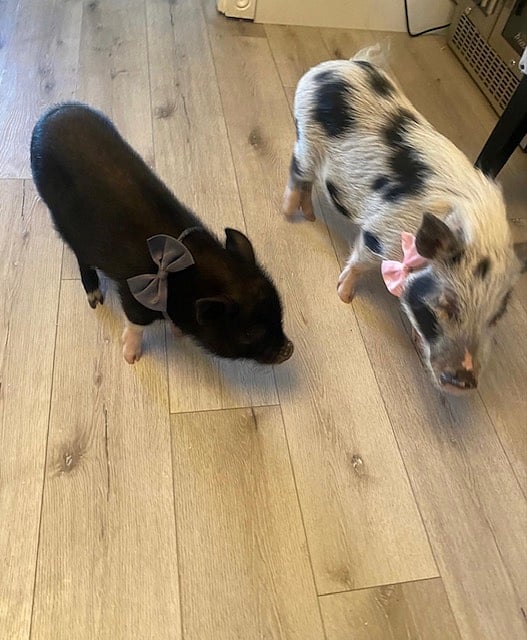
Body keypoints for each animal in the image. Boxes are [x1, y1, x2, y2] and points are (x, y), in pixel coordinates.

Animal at [31, 102, 293, 365]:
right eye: (250, 333)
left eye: (279, 311)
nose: (289, 350)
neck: (187, 279)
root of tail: (52, 113)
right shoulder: (134, 296)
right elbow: (136, 324)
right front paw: (131, 358)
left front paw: (176, 333)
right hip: (60, 217)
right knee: (80, 256)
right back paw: (96, 299)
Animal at [283, 49, 526, 394]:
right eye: (446, 305)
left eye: (494, 317)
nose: (463, 381)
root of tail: (337, 66)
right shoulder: (379, 233)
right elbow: (359, 262)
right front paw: (344, 296)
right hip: (305, 138)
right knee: (297, 172)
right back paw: (290, 213)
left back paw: (310, 214)